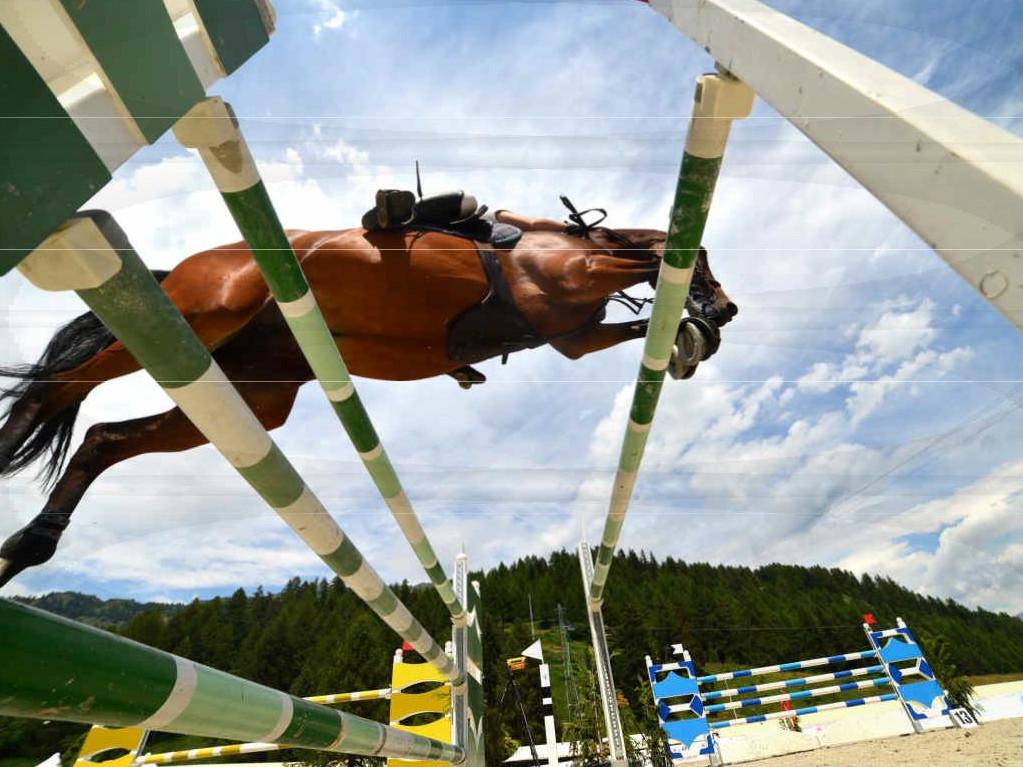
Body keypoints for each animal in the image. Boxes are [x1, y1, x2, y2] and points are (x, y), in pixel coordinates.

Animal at [0, 195, 736, 584]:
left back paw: (29, 546)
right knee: (59, 387)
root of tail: (179, 265)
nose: (728, 310)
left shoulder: (570, 337)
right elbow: (649, 255)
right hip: (197, 312)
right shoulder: (563, 280)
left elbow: (629, 313)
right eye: (710, 263)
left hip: (251, 392)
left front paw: (689, 335)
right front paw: (692, 314)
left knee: (104, 437)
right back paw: (14, 450)